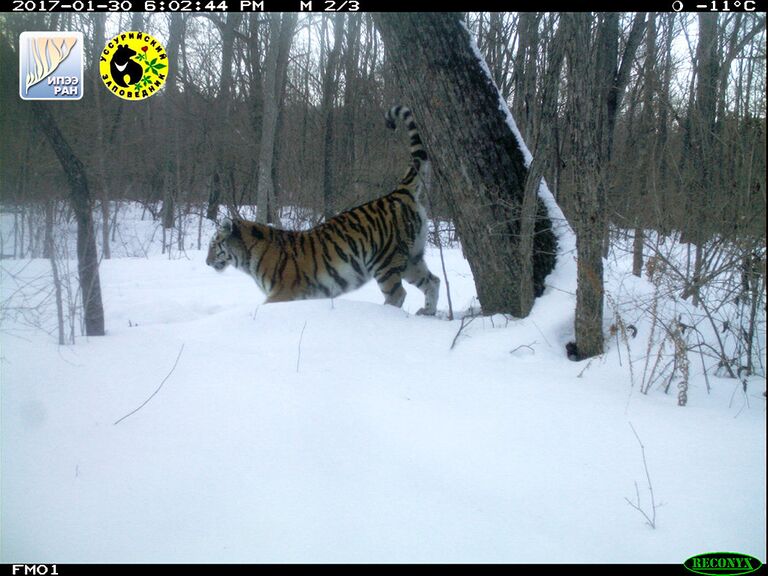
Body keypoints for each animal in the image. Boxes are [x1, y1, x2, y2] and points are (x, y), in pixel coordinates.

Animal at [207, 106, 440, 318]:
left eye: (213, 244)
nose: (207, 262)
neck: (247, 256)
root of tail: (399, 191)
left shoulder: (283, 292)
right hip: (412, 258)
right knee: (433, 281)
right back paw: (427, 312)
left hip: (387, 261)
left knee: (398, 294)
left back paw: (385, 314)